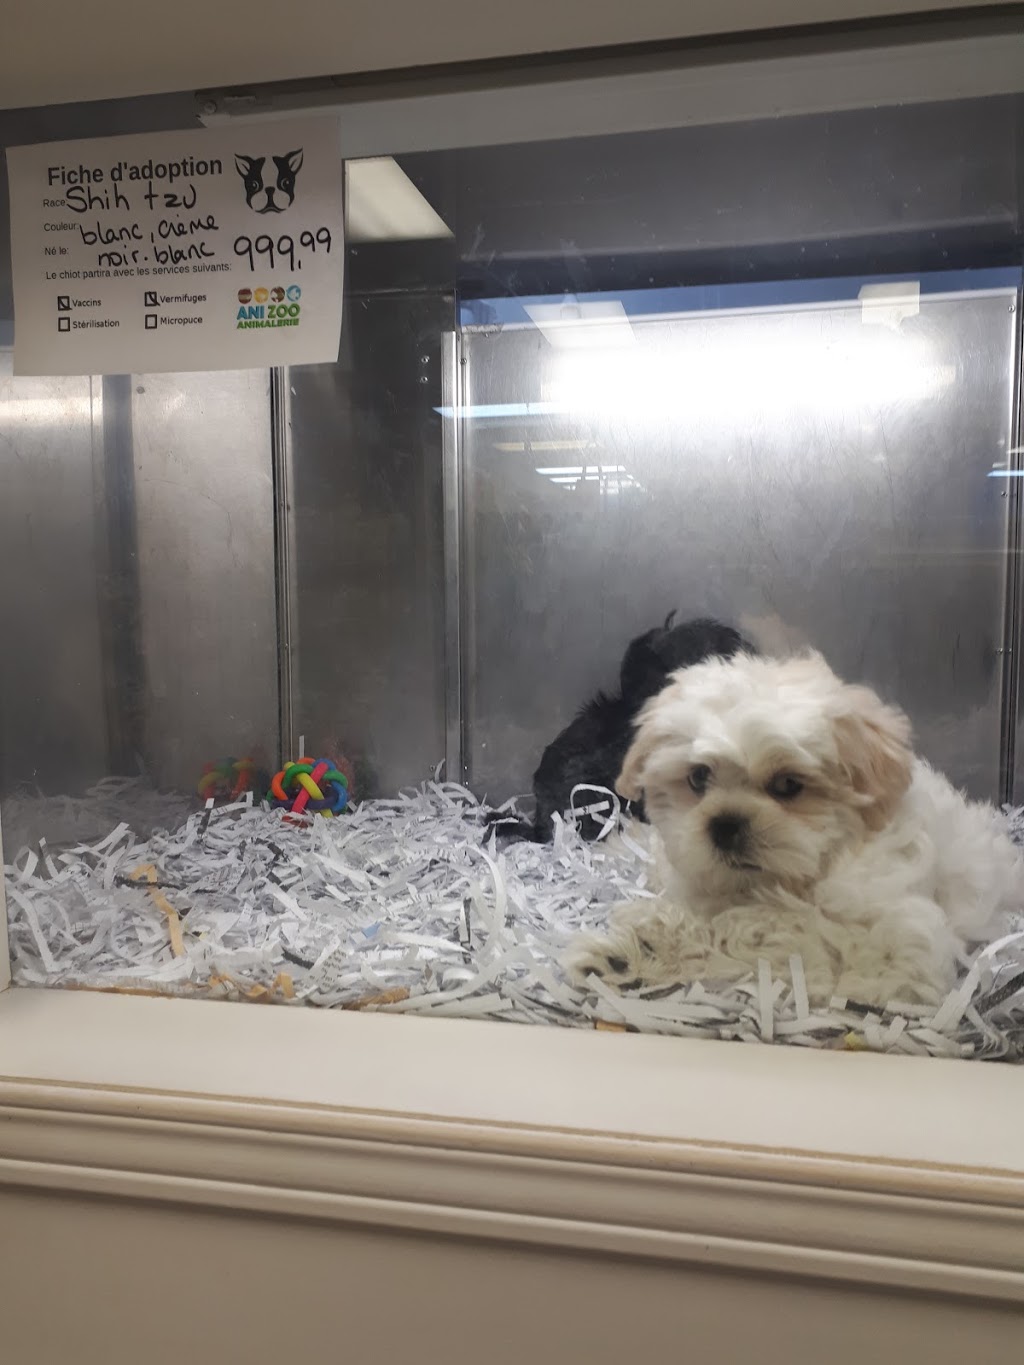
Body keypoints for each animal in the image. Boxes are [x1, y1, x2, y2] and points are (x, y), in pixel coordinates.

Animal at [569, 651, 1024, 1008]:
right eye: (698, 777)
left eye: (788, 785)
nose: (725, 823)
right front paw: (632, 949)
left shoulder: (890, 949)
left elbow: (770, 936)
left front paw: (647, 947)